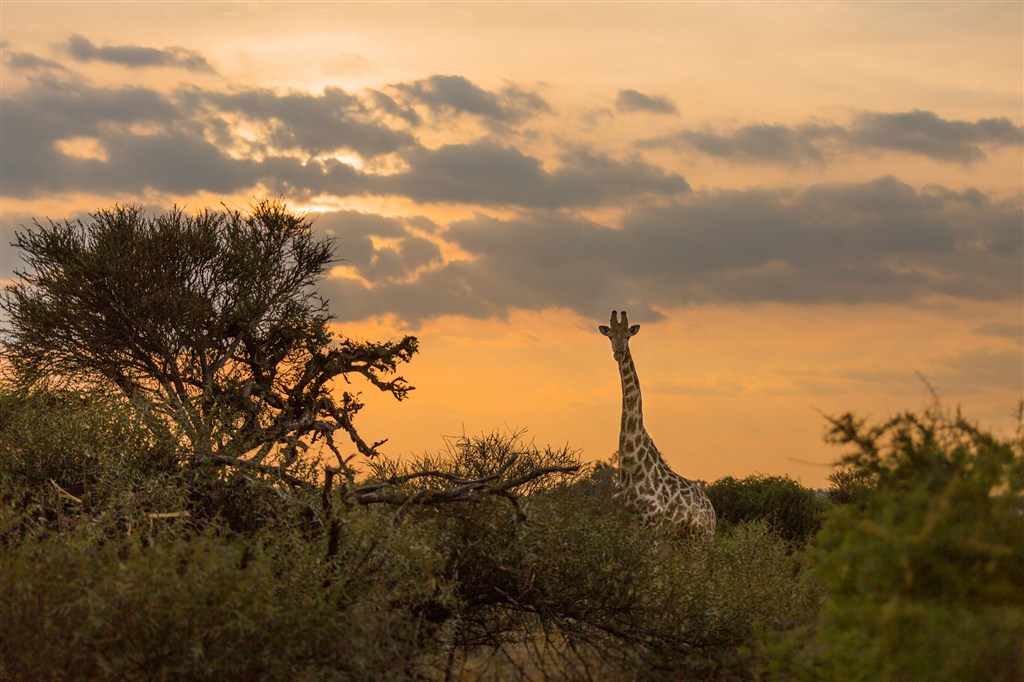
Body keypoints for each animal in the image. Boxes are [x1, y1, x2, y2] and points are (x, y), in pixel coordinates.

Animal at [598, 311, 716, 540]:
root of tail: (713, 511)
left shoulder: (651, 522)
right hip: (682, 538)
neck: (631, 465)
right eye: (610, 336)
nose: (619, 352)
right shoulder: (619, 521)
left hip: (701, 537)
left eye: (628, 336)